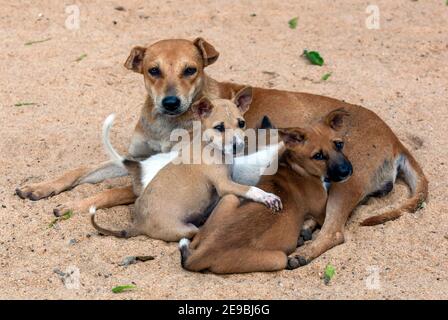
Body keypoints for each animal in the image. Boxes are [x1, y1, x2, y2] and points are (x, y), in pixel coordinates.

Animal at [89, 89, 282, 241]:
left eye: (241, 123)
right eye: (219, 127)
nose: (238, 146)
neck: (210, 146)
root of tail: (139, 225)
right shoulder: (224, 184)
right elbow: (252, 189)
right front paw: (268, 197)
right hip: (187, 229)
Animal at [179, 110, 354, 272]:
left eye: (339, 144)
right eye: (318, 156)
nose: (346, 172)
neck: (295, 168)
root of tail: (201, 254)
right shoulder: (321, 212)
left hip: (229, 199)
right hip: (278, 258)